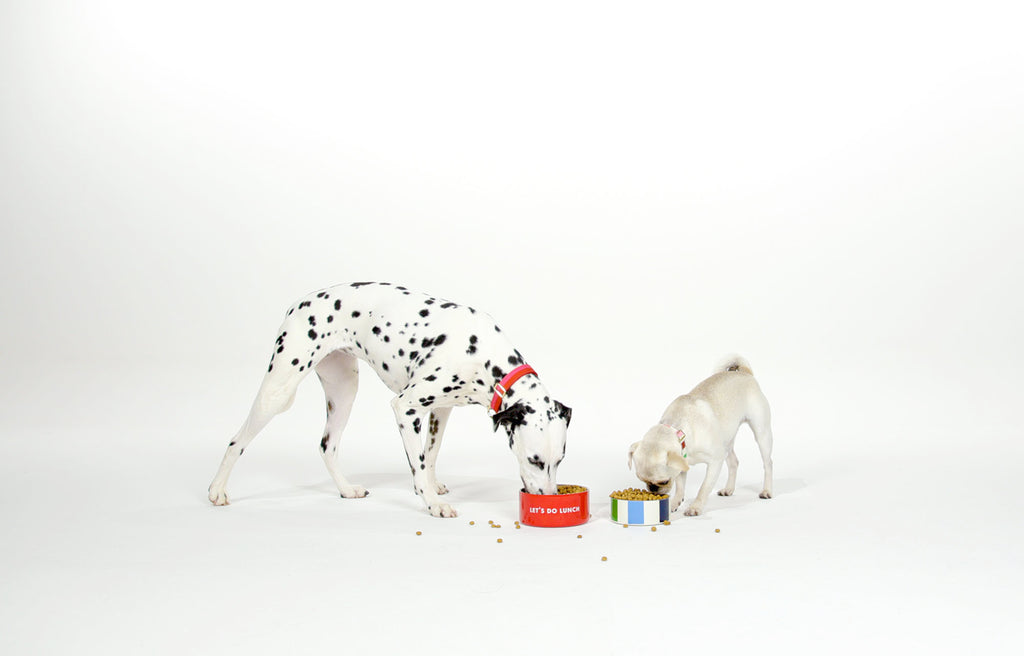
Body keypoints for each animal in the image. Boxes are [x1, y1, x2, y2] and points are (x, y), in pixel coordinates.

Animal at [203, 282, 573, 515]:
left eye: (559, 461)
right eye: (535, 461)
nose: (548, 498)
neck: (482, 354)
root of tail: (298, 303)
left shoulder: (440, 411)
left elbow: (430, 455)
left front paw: (432, 485)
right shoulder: (406, 408)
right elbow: (418, 463)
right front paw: (430, 502)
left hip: (344, 391)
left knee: (327, 446)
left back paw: (346, 489)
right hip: (277, 391)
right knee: (237, 441)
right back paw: (217, 490)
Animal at [626, 358, 770, 515]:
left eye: (664, 481)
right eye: (641, 479)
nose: (653, 489)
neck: (679, 430)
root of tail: (745, 373)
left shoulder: (715, 462)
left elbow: (704, 488)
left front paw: (695, 507)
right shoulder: (681, 466)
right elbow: (680, 487)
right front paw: (674, 503)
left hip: (761, 433)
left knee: (768, 463)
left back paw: (767, 490)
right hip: (726, 441)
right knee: (733, 462)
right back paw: (728, 489)